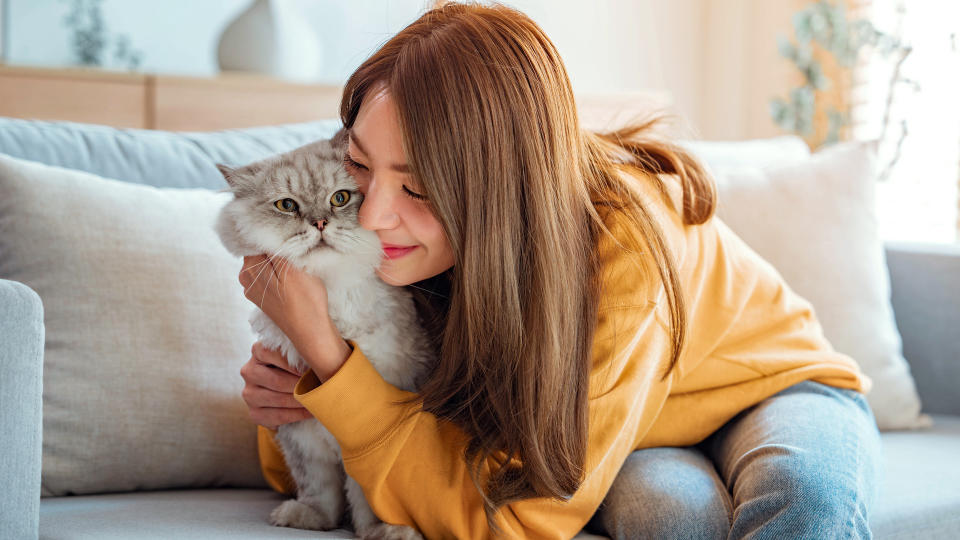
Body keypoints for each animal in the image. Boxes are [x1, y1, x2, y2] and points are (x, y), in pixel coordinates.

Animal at [216, 132, 434, 540]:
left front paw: (381, 530)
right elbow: (319, 489)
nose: (319, 223)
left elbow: (368, 495)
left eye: (340, 198)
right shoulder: (300, 435)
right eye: (287, 206)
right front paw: (311, 520)